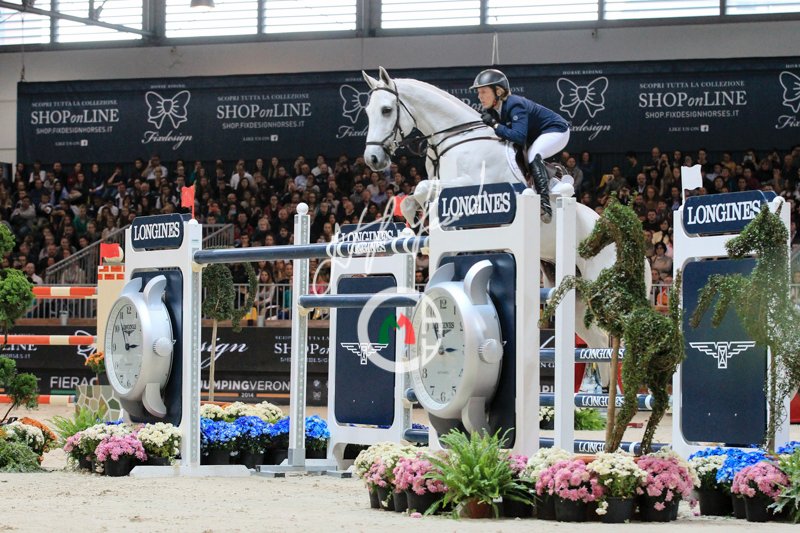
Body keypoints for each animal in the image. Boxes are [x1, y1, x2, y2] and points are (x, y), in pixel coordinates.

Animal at [361, 66, 651, 351]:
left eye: (386, 110)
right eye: (367, 112)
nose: (372, 159)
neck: (459, 138)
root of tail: (635, 248)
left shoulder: (475, 189)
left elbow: (423, 187)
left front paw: (423, 226)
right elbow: (417, 194)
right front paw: (415, 223)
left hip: (609, 294)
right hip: (578, 301)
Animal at [540, 196, 684, 453]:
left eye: (601, 227)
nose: (584, 248)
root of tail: (672, 338)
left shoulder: (598, 302)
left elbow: (573, 281)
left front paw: (548, 308)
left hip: (637, 365)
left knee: (632, 403)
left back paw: (613, 444)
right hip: (657, 373)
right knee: (657, 404)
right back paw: (642, 446)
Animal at [689, 199, 800, 452]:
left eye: (755, 228)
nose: (730, 246)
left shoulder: (748, 303)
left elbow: (725, 283)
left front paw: (710, 316)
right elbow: (722, 282)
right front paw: (704, 316)